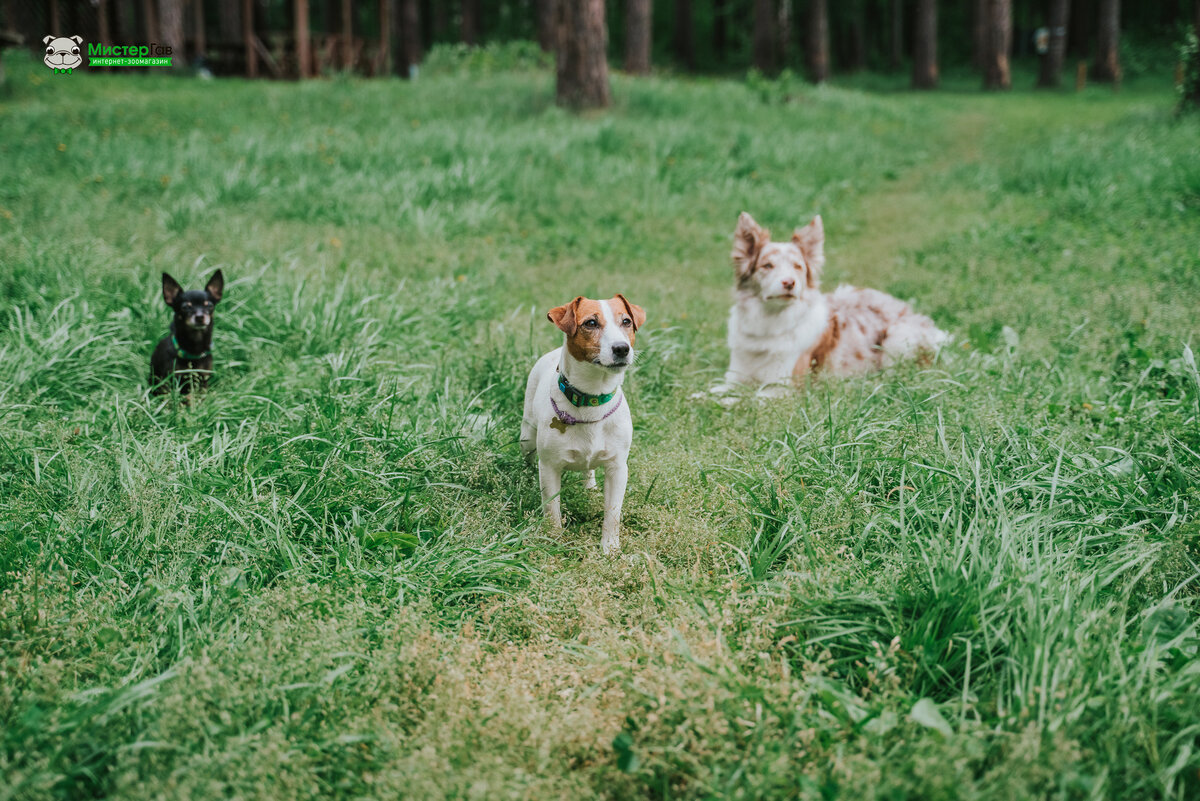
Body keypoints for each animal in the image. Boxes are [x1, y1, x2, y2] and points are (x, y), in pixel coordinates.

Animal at [518, 293, 643, 556]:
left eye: (626, 321)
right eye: (591, 323)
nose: (622, 348)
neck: (592, 399)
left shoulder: (618, 468)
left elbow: (613, 514)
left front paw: (610, 549)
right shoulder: (550, 468)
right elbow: (552, 510)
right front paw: (554, 541)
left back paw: (590, 486)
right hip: (527, 436)